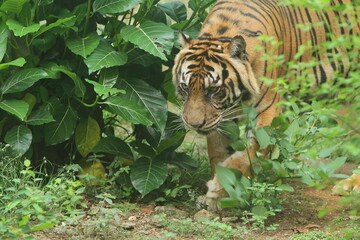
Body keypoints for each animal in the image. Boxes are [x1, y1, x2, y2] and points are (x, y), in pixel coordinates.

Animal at [172, 0, 360, 210]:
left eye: (213, 90)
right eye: (185, 88)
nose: (194, 125)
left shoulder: (268, 112)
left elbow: (248, 155)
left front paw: (220, 192)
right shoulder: (221, 119)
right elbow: (218, 153)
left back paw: (351, 185)